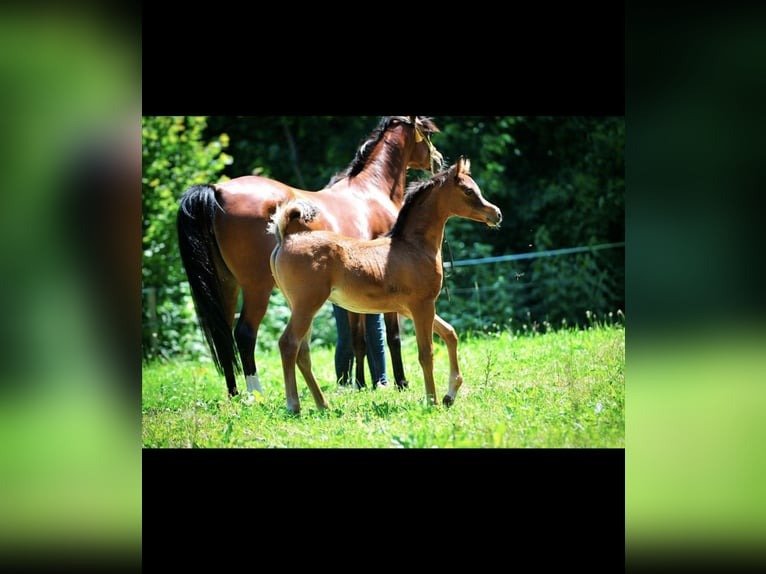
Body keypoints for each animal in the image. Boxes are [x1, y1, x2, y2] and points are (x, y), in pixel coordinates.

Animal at [177, 116, 442, 397]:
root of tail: (216, 190)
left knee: (223, 333)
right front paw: (401, 382)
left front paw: (359, 384)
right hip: (257, 287)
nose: (438, 159)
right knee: (245, 333)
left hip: (227, 285)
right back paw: (256, 393)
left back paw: (234, 394)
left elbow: (357, 338)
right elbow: (393, 337)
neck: (369, 191)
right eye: (427, 132)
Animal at [268, 157, 503, 413]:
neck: (413, 247)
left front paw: (450, 395)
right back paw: (294, 405)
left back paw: (323, 404)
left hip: (301, 307)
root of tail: (287, 237)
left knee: (303, 352)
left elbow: (450, 333)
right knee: (289, 344)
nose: (497, 214)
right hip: (307, 305)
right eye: (469, 191)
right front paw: (432, 400)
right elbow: (426, 353)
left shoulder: (409, 309)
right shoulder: (422, 306)